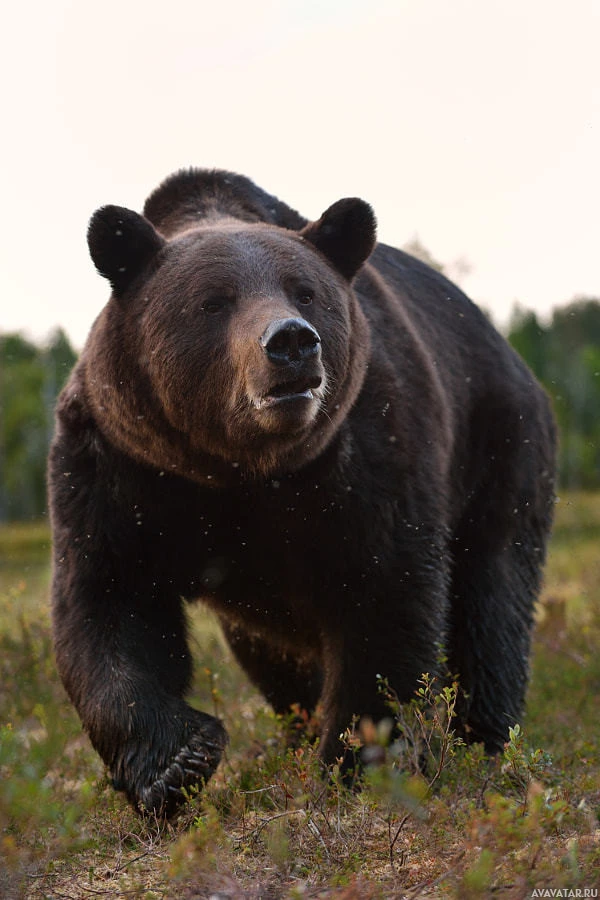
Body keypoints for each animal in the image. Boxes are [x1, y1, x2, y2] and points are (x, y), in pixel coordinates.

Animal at [48, 169, 556, 816]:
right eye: (214, 301)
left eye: (305, 291)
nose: (291, 341)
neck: (242, 469)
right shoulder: (123, 467)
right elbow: (109, 603)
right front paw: (177, 762)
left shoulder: (369, 450)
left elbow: (384, 597)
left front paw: (359, 761)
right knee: (273, 652)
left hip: (500, 445)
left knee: (493, 598)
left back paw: (481, 740)